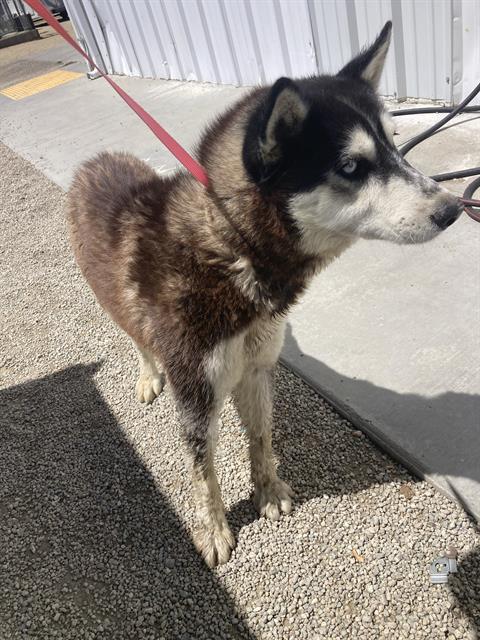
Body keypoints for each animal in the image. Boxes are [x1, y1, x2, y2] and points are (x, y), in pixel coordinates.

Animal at [67, 22, 462, 568]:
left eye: (395, 145)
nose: (455, 208)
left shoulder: (256, 368)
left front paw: (268, 489)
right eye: (351, 167)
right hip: (113, 303)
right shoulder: (196, 395)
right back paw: (148, 375)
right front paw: (213, 529)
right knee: (137, 338)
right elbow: (204, 473)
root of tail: (96, 160)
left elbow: (261, 435)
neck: (232, 247)